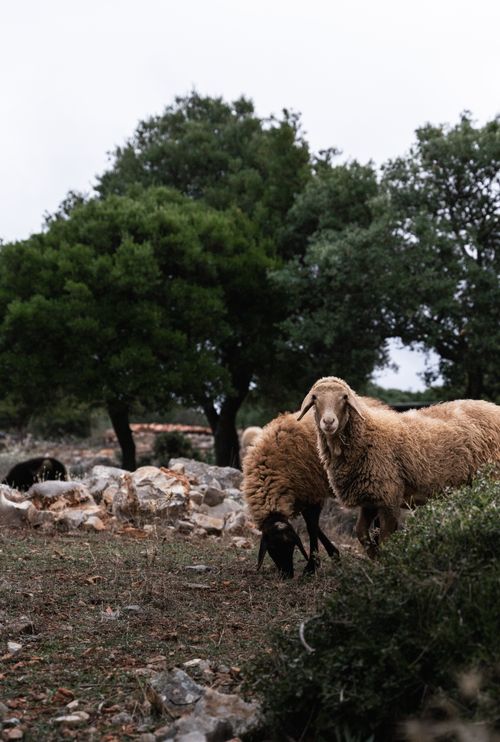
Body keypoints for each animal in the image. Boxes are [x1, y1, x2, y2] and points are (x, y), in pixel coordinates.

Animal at [298, 376, 500, 556]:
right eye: (315, 398)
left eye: (344, 397)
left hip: (492, 476)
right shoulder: (370, 497)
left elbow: (386, 539)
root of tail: (493, 407)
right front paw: (375, 558)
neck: (367, 434)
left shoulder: (389, 496)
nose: (328, 422)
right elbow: (361, 533)